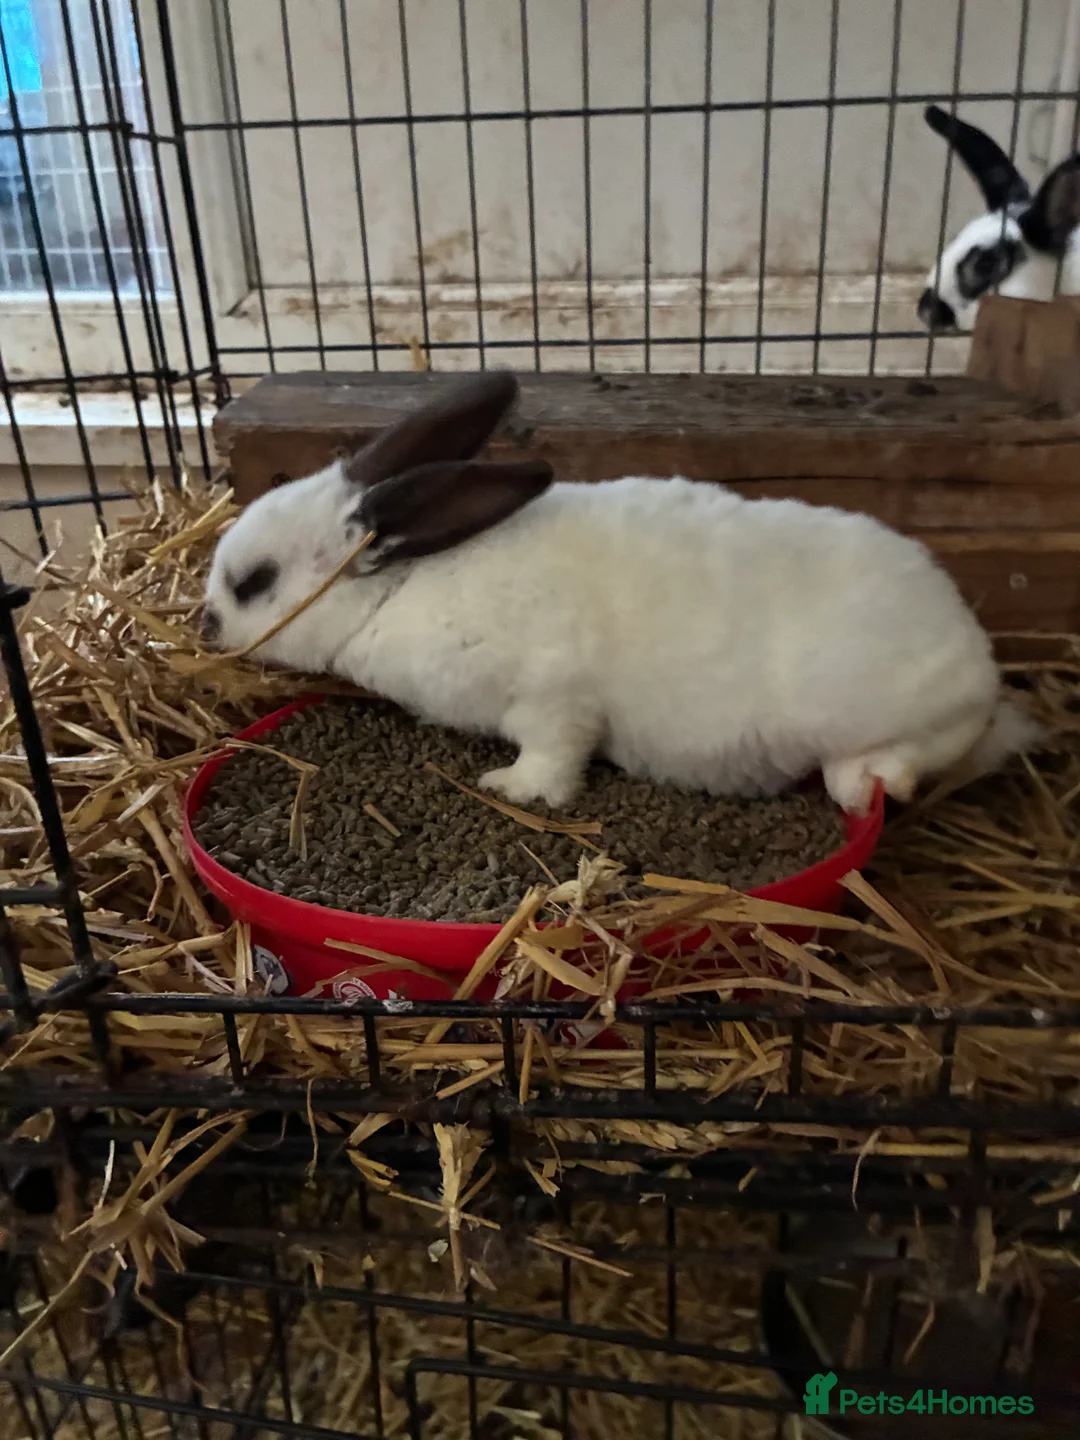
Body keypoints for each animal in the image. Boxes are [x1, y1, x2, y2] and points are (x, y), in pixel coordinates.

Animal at [202, 371, 1039, 816]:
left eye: (254, 581)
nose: (206, 626)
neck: (406, 580)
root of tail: (978, 661)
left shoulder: (552, 696)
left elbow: (552, 756)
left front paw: (514, 788)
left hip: (894, 714)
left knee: (918, 757)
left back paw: (868, 782)